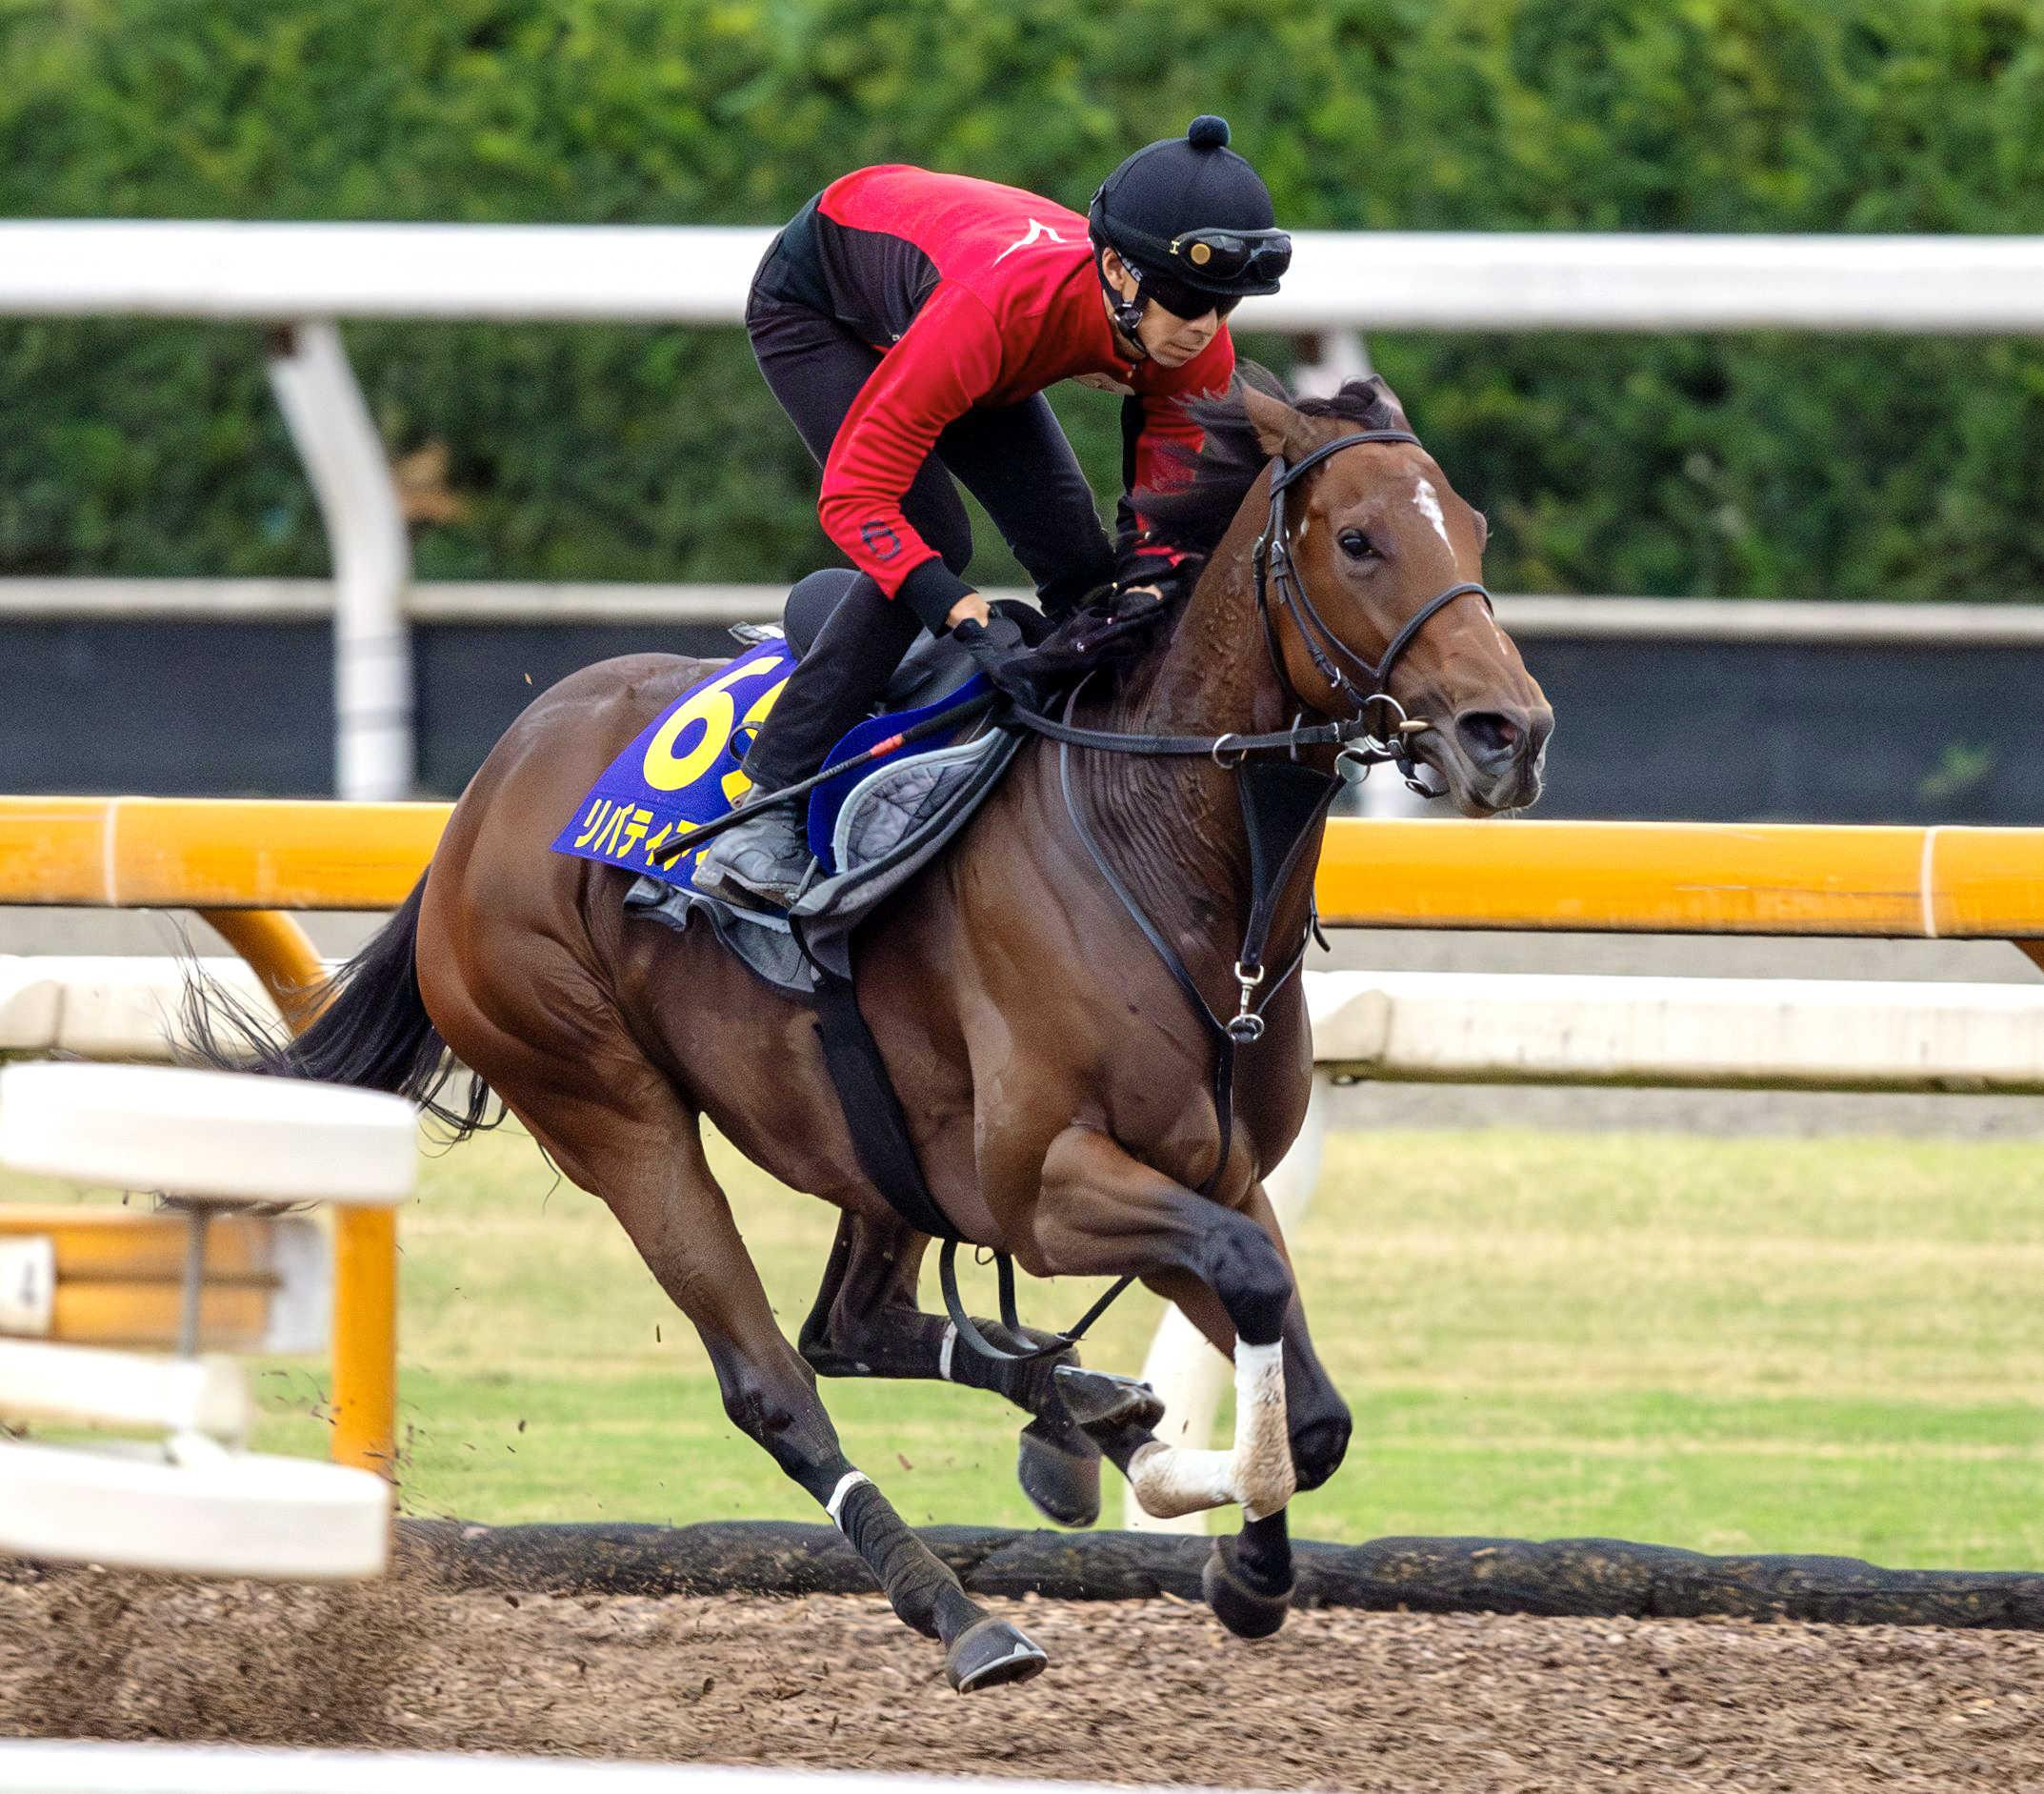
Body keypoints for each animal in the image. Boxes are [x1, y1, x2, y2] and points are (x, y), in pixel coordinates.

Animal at [203, 370, 1545, 1685]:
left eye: (1473, 529)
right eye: (1359, 540)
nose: (1509, 733)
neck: (1154, 843)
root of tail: (481, 797)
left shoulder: (1209, 1166)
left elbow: (1303, 1386)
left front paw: (1230, 1548)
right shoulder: (1044, 1187)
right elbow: (1251, 1285)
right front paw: (1210, 1520)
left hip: (872, 1135)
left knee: (850, 1325)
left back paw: (1079, 1412)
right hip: (608, 1107)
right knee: (773, 1379)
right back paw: (967, 1610)